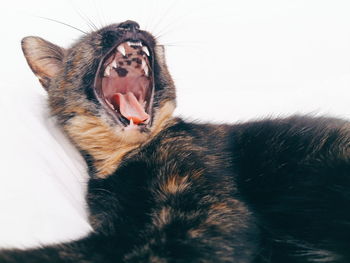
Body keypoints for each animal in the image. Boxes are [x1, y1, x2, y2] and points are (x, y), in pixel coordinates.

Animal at [0, 19, 350, 262]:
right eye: (94, 37)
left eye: (132, 24)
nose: (130, 23)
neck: (122, 157)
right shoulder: (116, 224)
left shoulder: (209, 207)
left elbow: (161, 251)